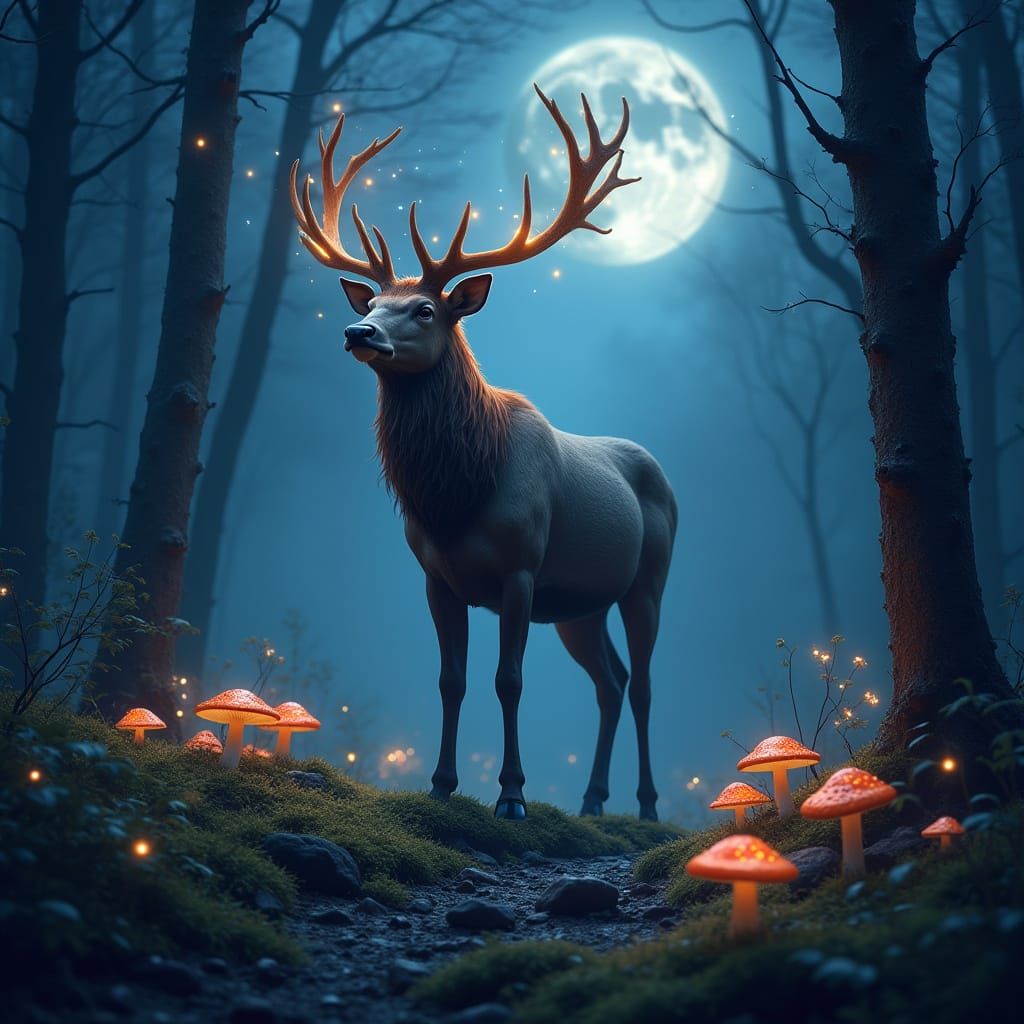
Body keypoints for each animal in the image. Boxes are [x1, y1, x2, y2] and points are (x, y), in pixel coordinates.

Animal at [290, 86, 677, 821]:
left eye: (425, 310)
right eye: (375, 301)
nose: (357, 331)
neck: (457, 495)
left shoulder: (521, 568)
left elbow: (509, 679)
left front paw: (513, 795)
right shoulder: (436, 576)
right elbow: (451, 679)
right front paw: (442, 784)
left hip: (649, 577)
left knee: (643, 682)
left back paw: (644, 807)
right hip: (581, 604)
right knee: (610, 681)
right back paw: (592, 800)